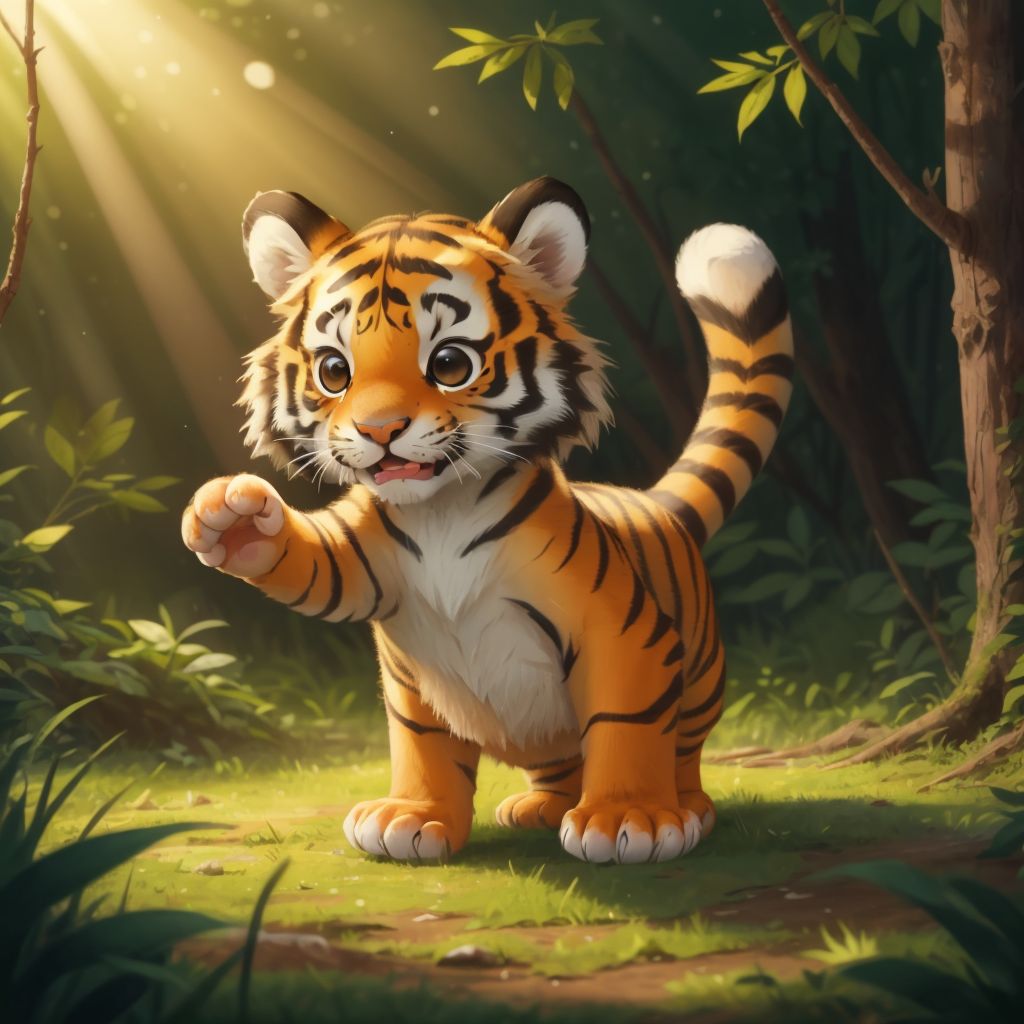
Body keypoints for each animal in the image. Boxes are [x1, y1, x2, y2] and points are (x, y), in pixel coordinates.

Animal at [181, 177, 793, 864]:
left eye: (450, 363)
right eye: (335, 371)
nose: (379, 430)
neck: (441, 512)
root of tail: (655, 503)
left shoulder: (621, 632)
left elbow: (626, 723)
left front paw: (627, 819)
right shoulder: (365, 566)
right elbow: (417, 733)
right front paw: (232, 518)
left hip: (701, 679)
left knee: (681, 749)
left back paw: (683, 808)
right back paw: (541, 807)